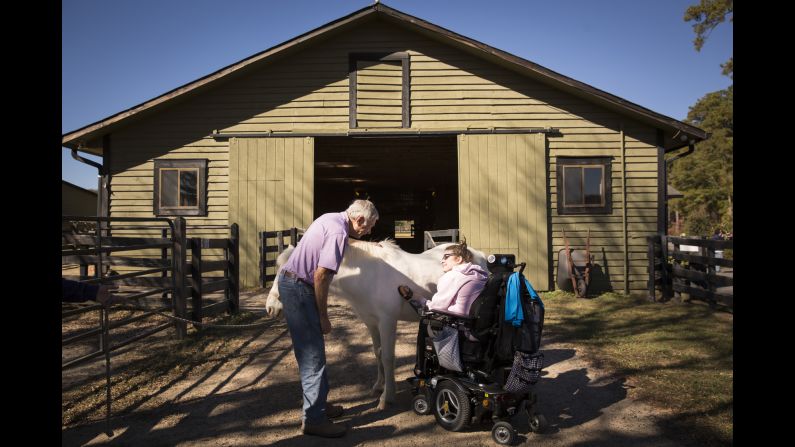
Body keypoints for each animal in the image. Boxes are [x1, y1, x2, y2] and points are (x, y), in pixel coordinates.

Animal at [264, 240, 488, 412]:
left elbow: (388, 357)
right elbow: (377, 352)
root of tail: (480, 255)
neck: (367, 276)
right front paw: (379, 386)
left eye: (288, 271)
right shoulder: (371, 322)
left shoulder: (388, 321)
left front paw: (386, 398)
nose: (270, 307)